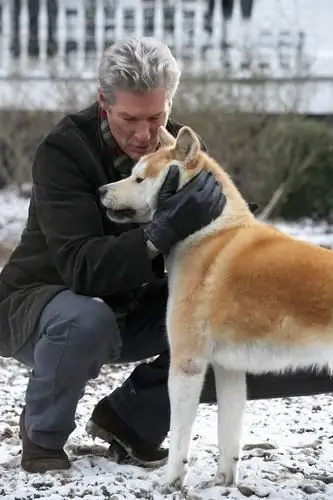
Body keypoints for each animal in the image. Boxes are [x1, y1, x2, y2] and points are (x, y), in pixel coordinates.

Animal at [98, 124, 332, 488]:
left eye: (139, 178)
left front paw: (170, 483)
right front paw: (223, 483)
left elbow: (180, 438)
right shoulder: (228, 370)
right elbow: (228, 435)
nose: (101, 190)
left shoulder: (187, 364)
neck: (208, 234)